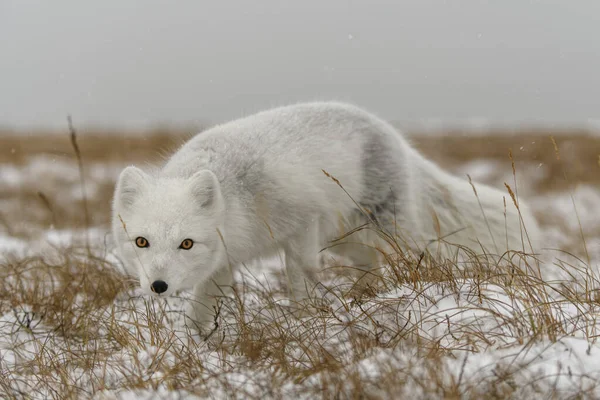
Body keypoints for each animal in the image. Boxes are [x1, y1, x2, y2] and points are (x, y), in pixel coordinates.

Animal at [111, 102, 540, 332]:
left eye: (185, 243)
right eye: (141, 242)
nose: (159, 286)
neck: (237, 203)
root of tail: (393, 135)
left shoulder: (302, 226)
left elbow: (299, 278)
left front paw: (303, 321)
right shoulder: (223, 259)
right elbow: (203, 306)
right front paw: (195, 344)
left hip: (383, 230)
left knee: (415, 255)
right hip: (345, 239)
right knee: (372, 264)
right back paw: (363, 296)